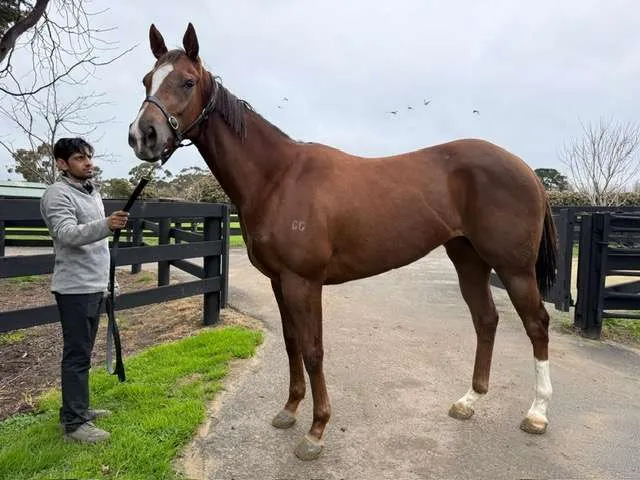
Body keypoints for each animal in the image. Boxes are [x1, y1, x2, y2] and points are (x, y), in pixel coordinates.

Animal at [128, 23, 557, 461]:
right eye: (147, 80)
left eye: (187, 81)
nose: (143, 136)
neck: (277, 177)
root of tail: (525, 169)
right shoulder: (279, 282)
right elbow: (292, 343)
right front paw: (289, 410)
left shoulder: (304, 282)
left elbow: (313, 349)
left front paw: (316, 431)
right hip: (469, 259)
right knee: (486, 320)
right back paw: (469, 401)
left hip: (514, 268)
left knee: (536, 324)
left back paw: (537, 413)